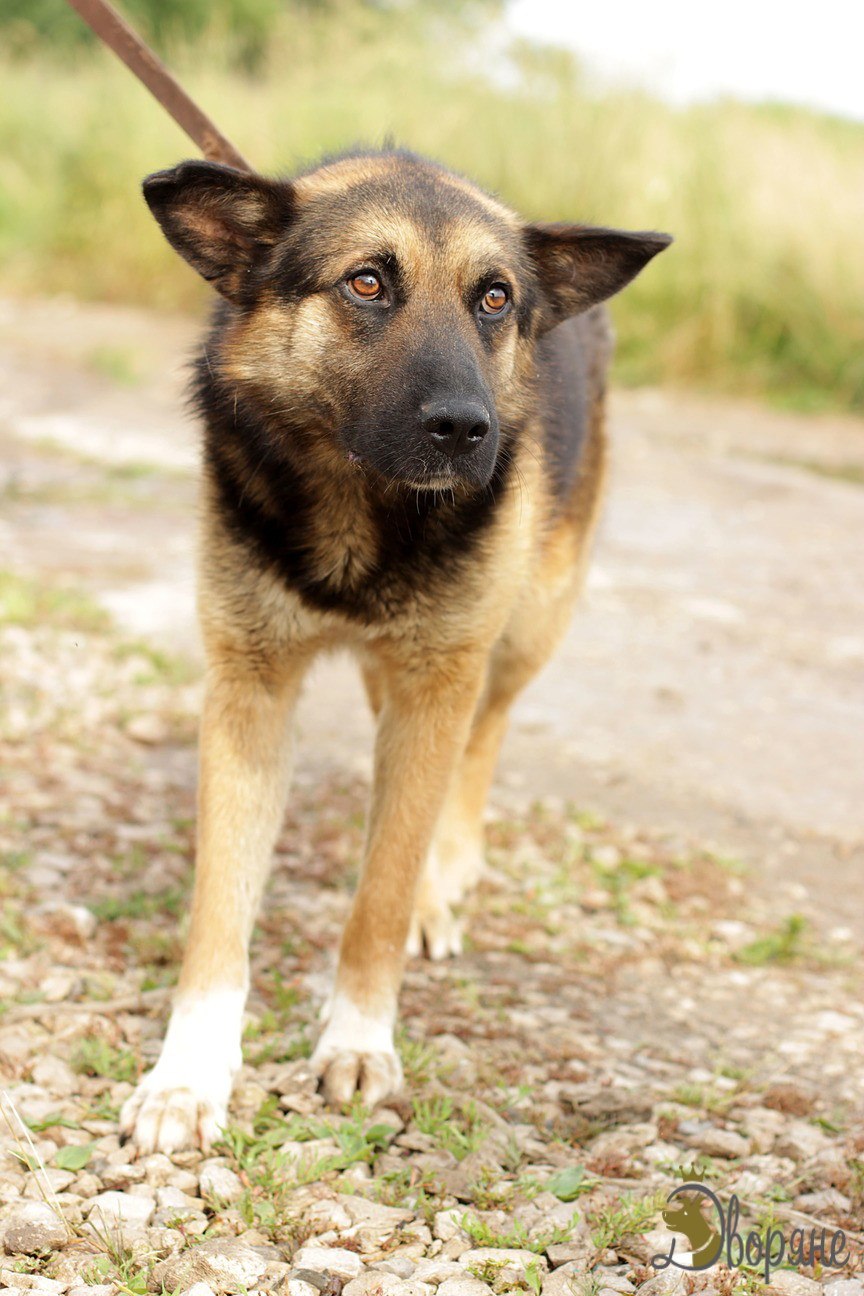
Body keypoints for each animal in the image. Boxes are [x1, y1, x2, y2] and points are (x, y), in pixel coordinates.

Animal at [121, 147, 673, 1150]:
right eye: (367, 283)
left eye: (494, 298)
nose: (465, 430)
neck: (356, 501)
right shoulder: (250, 690)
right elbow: (219, 907)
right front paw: (188, 1076)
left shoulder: (437, 683)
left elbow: (378, 896)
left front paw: (358, 1041)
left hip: (524, 627)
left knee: (478, 747)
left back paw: (441, 880)